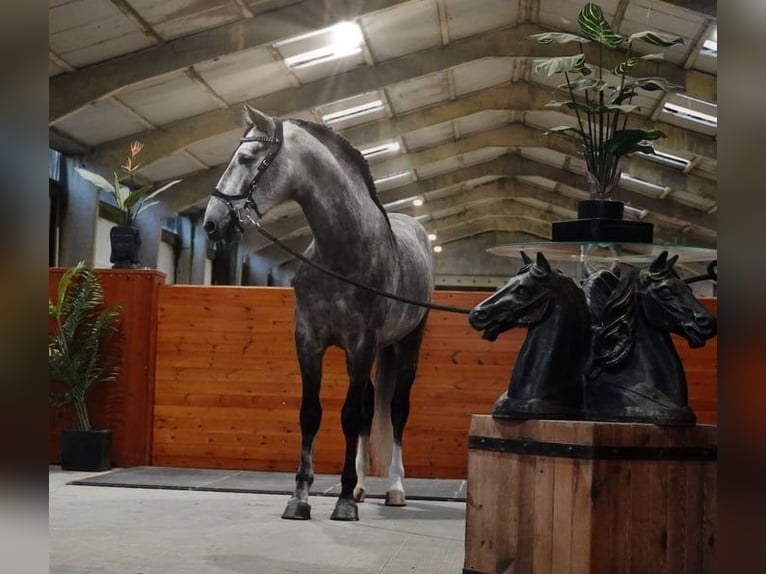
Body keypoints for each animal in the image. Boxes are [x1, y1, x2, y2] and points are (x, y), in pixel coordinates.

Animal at [201, 104, 436, 520]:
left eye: (246, 158)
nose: (212, 223)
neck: (344, 251)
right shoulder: (309, 340)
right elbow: (312, 413)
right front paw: (300, 498)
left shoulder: (361, 346)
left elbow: (348, 416)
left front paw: (342, 503)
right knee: (369, 407)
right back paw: (360, 486)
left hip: (408, 342)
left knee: (396, 409)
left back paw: (394, 488)